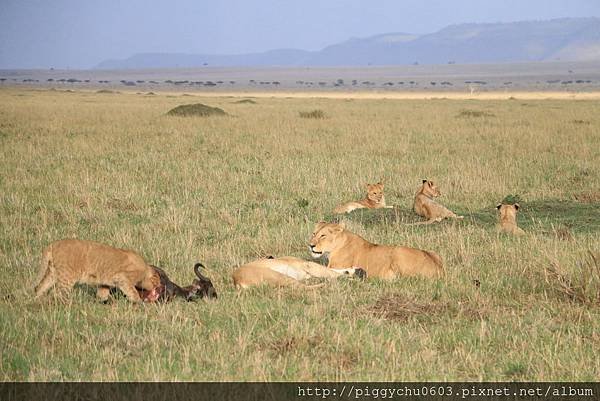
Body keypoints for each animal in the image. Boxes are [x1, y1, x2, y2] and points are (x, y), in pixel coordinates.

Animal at [232, 255, 366, 290]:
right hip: (280, 276)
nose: (362, 270)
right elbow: (333, 272)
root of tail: (236, 280)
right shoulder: (310, 265)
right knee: (303, 287)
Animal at [312, 222, 442, 278]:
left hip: (398, 251)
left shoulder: (336, 265)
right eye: (314, 233)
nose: (311, 245)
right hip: (434, 253)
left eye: (323, 236)